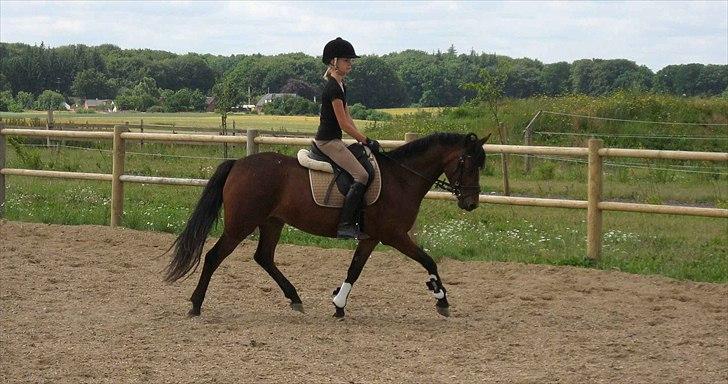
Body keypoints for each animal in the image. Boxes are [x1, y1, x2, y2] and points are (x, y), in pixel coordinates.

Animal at [165, 132, 490, 318]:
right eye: (468, 162)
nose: (471, 203)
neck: (401, 178)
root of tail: (238, 164)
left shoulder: (370, 238)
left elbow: (354, 269)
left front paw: (338, 303)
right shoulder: (394, 235)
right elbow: (428, 260)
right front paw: (440, 297)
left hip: (272, 222)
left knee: (264, 257)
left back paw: (295, 298)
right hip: (241, 225)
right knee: (213, 257)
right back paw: (195, 304)